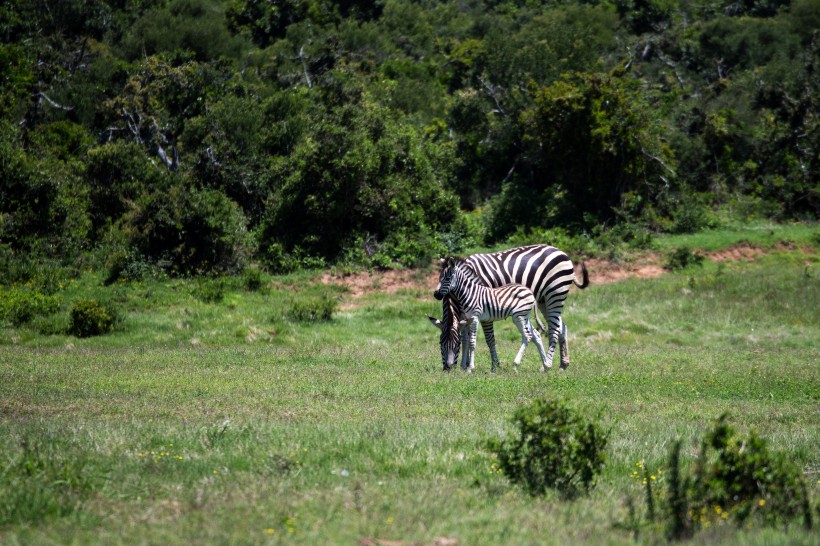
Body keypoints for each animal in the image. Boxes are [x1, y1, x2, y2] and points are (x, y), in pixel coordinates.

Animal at [432, 244, 588, 372]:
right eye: (440, 344)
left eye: (455, 345)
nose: (447, 369)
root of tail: (562, 252)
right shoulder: (465, 315)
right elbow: (466, 338)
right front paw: (464, 366)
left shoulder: (485, 312)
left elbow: (489, 339)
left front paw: (494, 366)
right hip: (544, 300)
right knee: (561, 326)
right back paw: (562, 364)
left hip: (555, 294)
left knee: (554, 329)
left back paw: (546, 364)